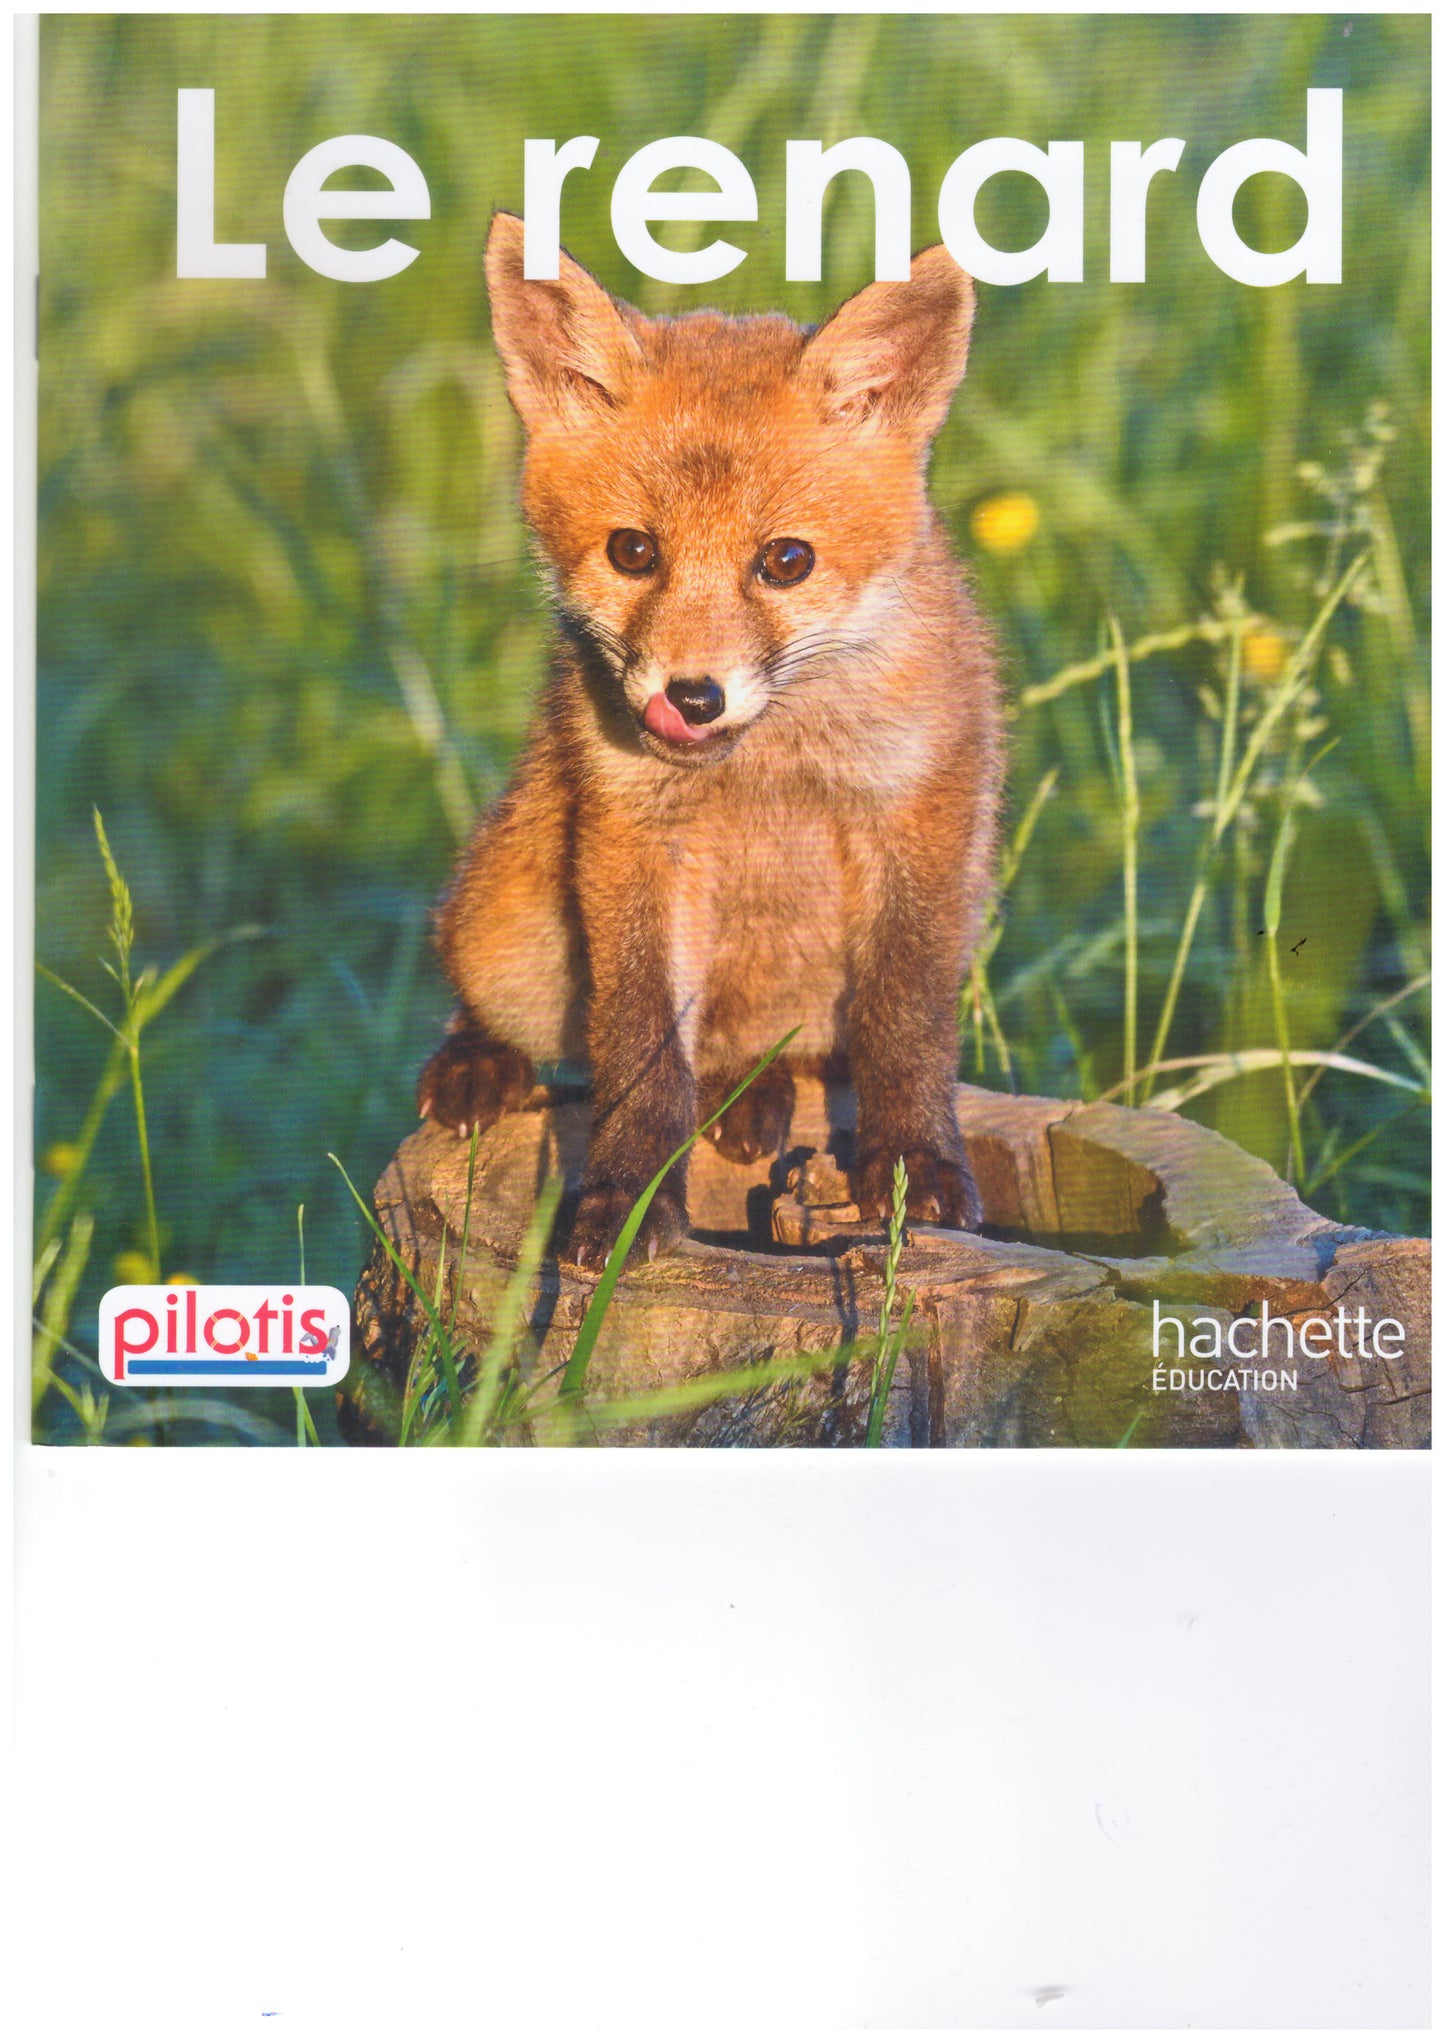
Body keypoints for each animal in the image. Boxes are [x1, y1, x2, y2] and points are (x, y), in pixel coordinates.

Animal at [416, 211, 1004, 1272]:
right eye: (632, 551)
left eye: (787, 561)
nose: (689, 698)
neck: (768, 768)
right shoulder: (634, 839)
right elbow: (641, 1051)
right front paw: (628, 1200)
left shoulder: (920, 819)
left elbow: (907, 1024)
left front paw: (913, 1169)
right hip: (510, 928)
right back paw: (481, 1057)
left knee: (783, 1054)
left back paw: (753, 1092)